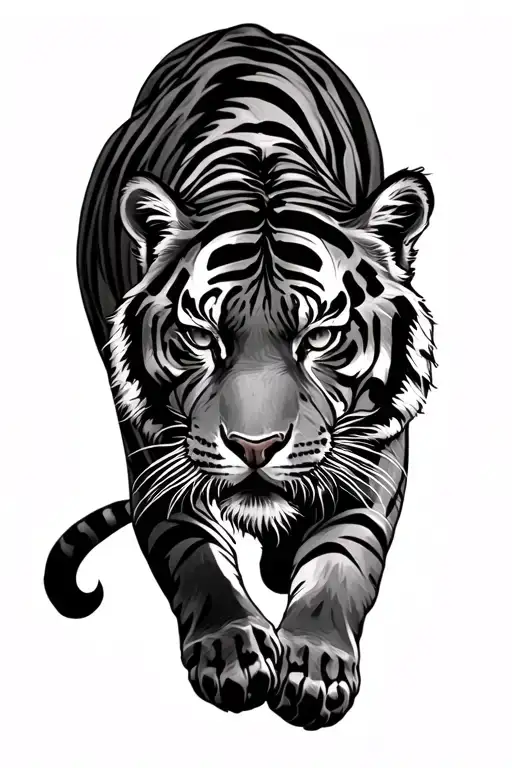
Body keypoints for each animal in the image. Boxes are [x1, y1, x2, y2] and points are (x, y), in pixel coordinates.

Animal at [44, 23, 435, 730]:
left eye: (319, 337)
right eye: (204, 338)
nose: (256, 449)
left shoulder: (379, 444)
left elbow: (344, 552)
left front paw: (314, 664)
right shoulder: (155, 445)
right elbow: (196, 547)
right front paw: (229, 650)